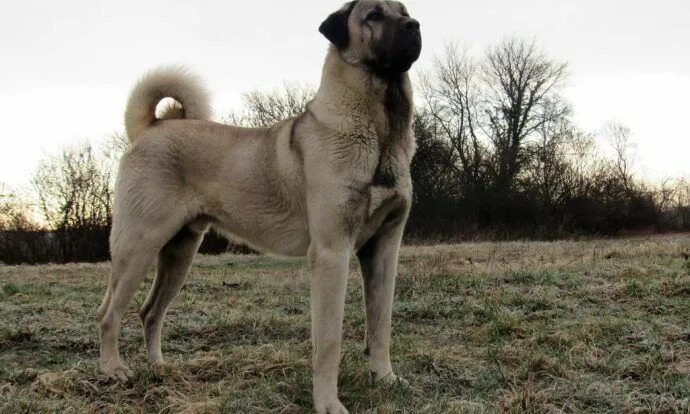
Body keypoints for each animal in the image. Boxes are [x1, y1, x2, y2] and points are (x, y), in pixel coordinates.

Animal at [97, 1, 420, 412]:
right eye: (374, 15)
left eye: (403, 10)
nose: (415, 25)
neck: (380, 127)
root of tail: (151, 128)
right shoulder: (332, 253)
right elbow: (328, 341)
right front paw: (328, 403)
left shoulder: (384, 249)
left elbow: (380, 325)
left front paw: (386, 379)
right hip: (139, 245)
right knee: (109, 313)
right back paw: (113, 369)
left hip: (179, 253)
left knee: (150, 311)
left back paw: (158, 368)